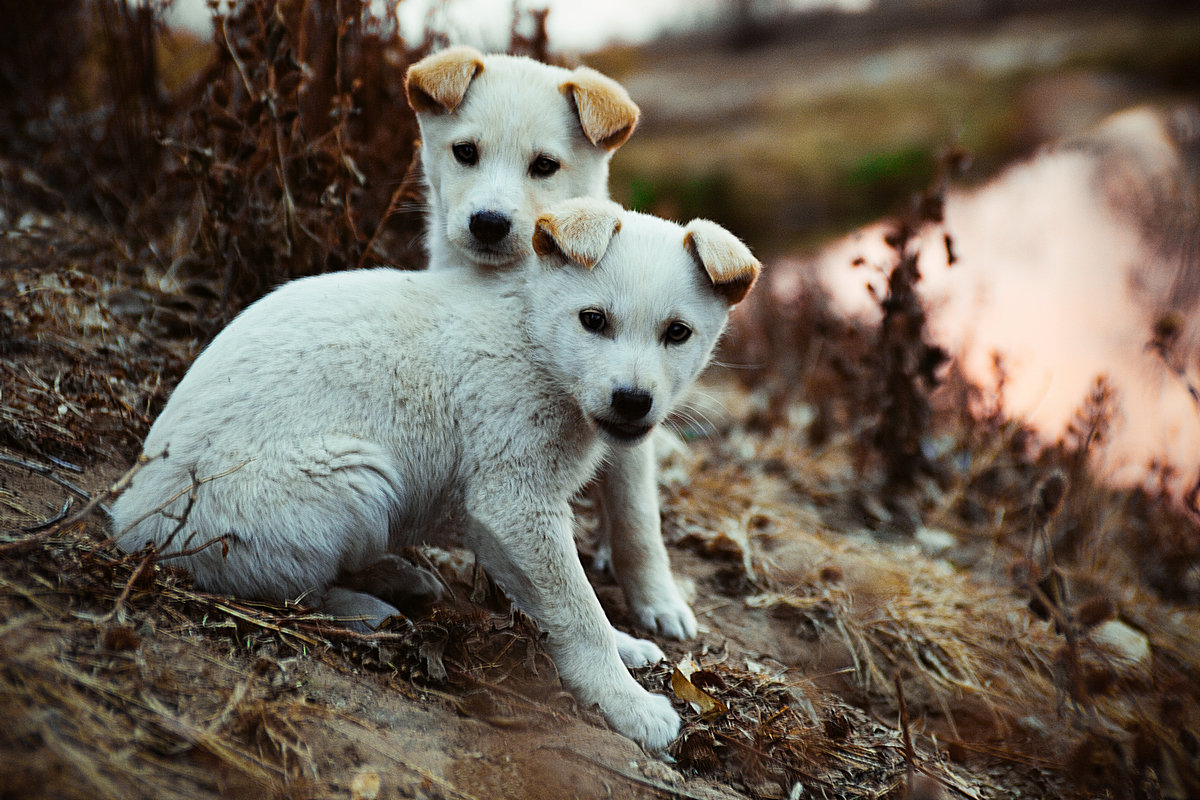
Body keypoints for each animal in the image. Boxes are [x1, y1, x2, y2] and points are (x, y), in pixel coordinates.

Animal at [105, 200, 758, 753]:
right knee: (284, 587)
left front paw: (626, 654)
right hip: (356, 476)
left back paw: (399, 578)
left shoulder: (507, 517)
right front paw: (631, 706)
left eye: (678, 333)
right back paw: (370, 609)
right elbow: (579, 610)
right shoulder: (513, 502)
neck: (532, 332)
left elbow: (562, 606)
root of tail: (128, 524)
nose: (632, 401)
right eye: (593, 320)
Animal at [408, 47, 700, 652]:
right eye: (465, 152)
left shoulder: (629, 435)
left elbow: (638, 520)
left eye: (544, 166)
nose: (489, 223)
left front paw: (657, 601)